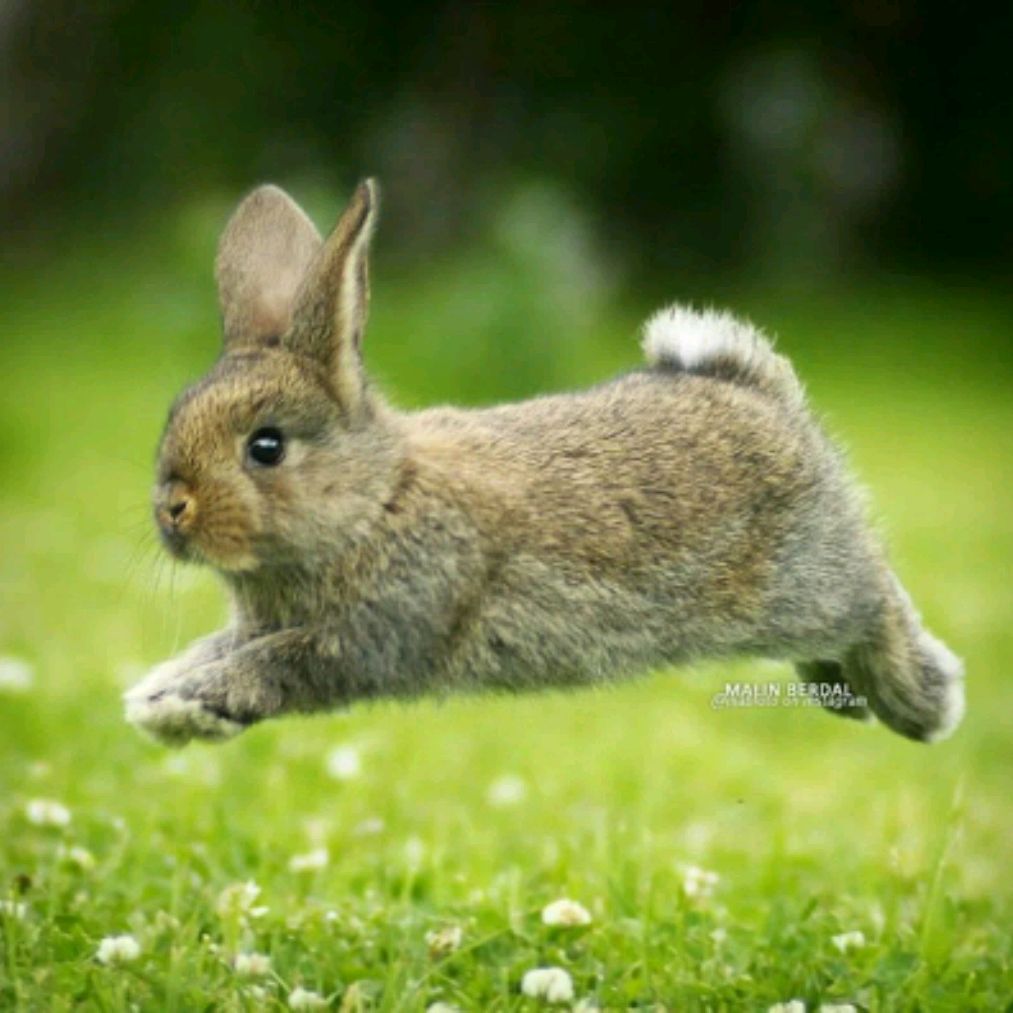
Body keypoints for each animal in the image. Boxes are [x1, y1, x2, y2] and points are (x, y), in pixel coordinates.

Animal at [124, 179, 965, 747]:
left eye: (265, 446)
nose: (171, 509)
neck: (375, 501)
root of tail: (760, 394)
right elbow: (221, 649)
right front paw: (159, 697)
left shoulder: (375, 630)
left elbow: (279, 666)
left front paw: (185, 705)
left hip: (805, 581)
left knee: (875, 601)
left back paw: (921, 698)